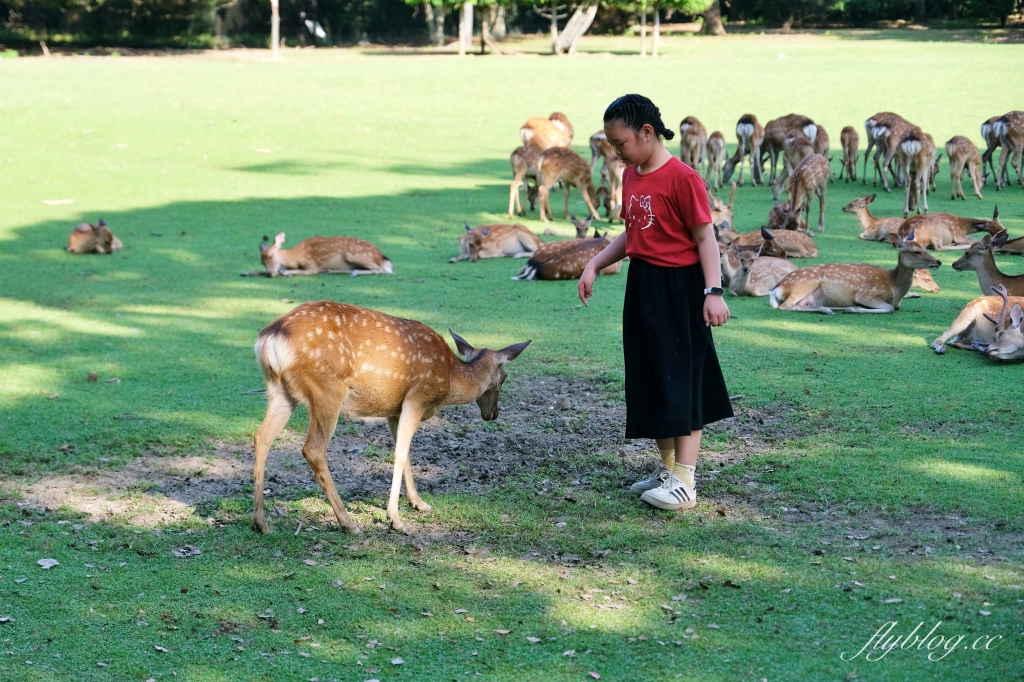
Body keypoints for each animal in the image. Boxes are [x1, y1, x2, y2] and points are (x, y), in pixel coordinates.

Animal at [252, 301, 532, 532]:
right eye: (504, 378)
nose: (493, 414)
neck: (451, 378)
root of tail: (268, 341)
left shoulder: (394, 410)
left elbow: (405, 452)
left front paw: (419, 503)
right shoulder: (417, 397)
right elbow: (398, 454)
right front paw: (394, 518)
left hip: (280, 391)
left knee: (261, 438)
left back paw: (260, 523)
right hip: (326, 391)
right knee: (313, 449)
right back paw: (348, 524)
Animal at [258, 233, 393, 276]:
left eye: (270, 256)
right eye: (262, 262)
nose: (269, 273)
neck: (296, 257)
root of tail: (381, 257)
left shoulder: (312, 264)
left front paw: (285, 272)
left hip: (354, 254)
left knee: (379, 269)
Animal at [770, 228, 942, 313]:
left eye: (924, 247)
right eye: (916, 251)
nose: (938, 261)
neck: (894, 289)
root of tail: (778, 287)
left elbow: (893, 307)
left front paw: (852, 308)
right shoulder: (866, 294)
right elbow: (889, 308)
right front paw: (855, 308)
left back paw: (828, 309)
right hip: (804, 283)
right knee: (786, 305)